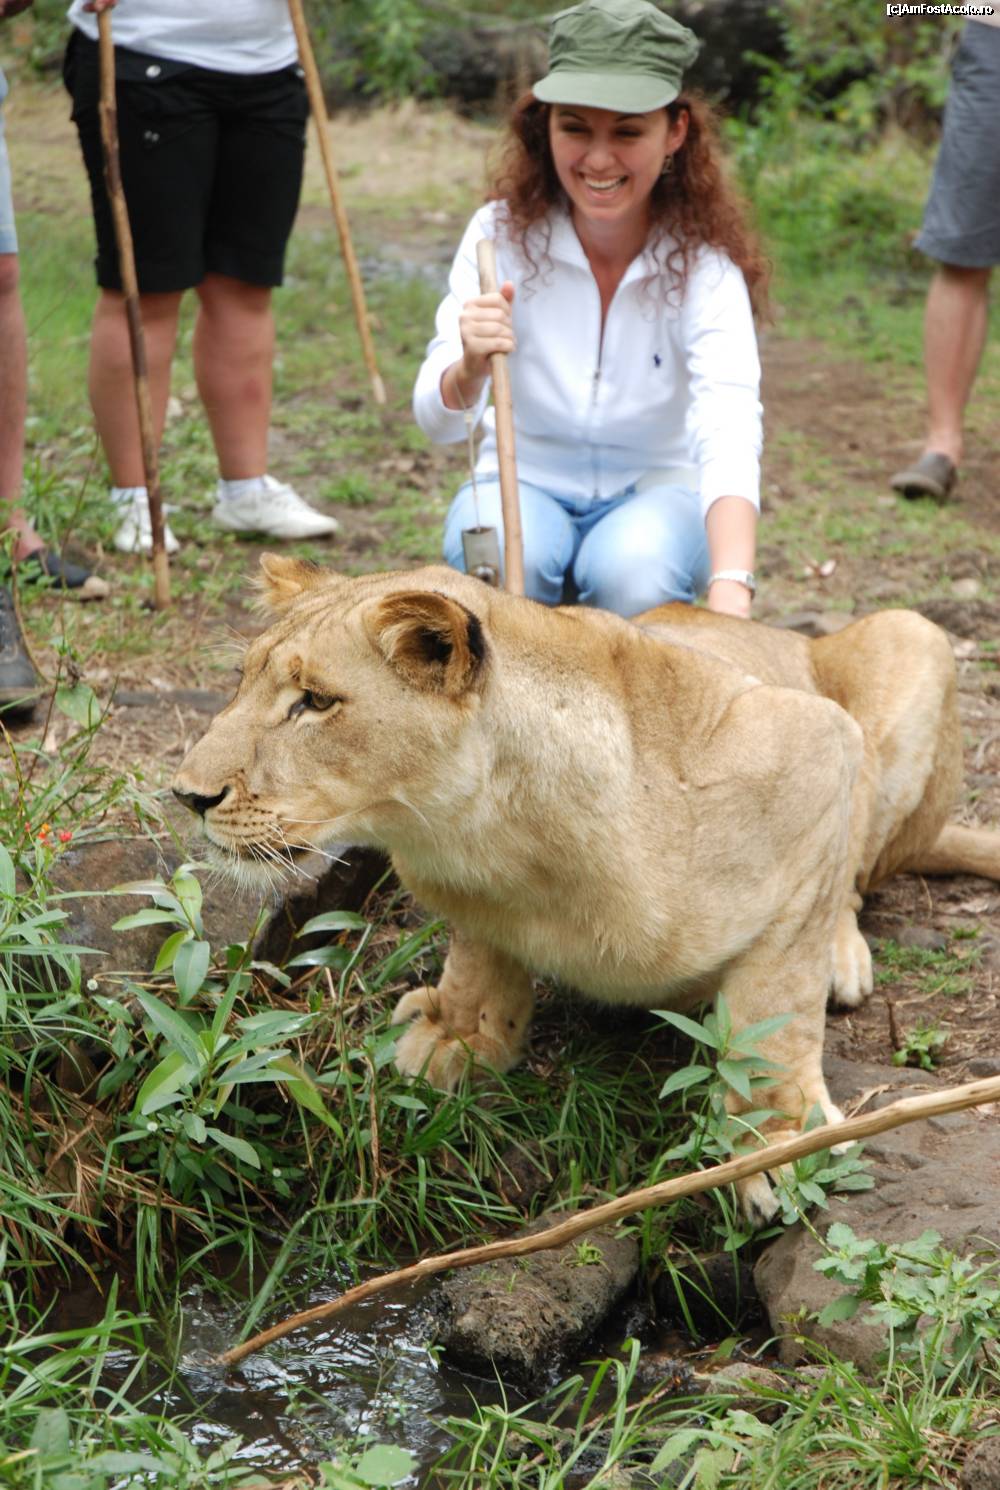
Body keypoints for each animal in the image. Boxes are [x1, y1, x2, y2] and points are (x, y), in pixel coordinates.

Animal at [173, 556, 1000, 1224]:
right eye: (242, 681)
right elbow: (479, 957)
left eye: (314, 701)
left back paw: (843, 958)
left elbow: (777, 1006)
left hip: (912, 637)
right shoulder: (475, 891)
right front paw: (461, 1032)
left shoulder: (815, 744)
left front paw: (778, 1141)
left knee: (855, 879)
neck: (506, 840)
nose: (186, 795)